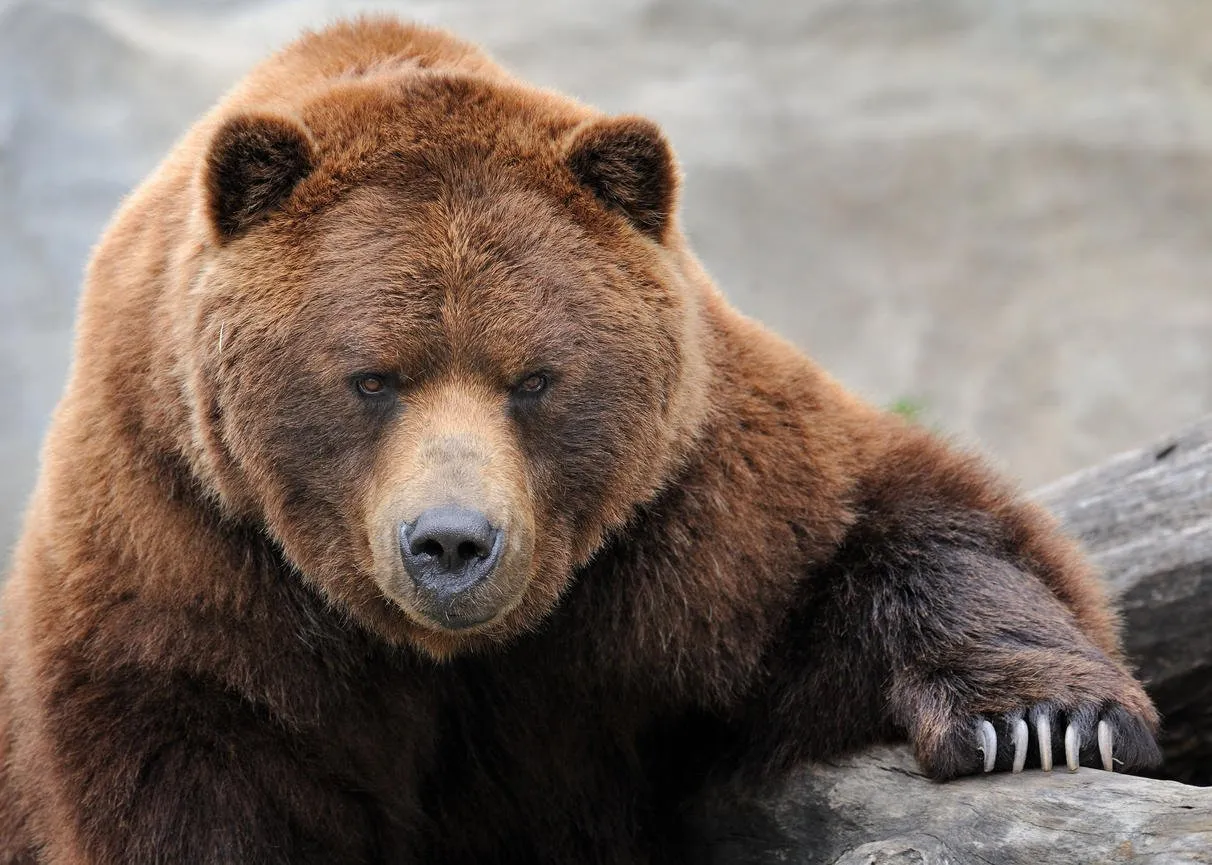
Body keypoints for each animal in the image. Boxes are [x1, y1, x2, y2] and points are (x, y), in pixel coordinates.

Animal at [0, 16, 1160, 865]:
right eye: (372, 377)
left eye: (535, 379)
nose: (453, 543)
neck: (451, 653)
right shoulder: (189, 555)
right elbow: (197, 772)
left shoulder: (687, 514)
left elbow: (893, 530)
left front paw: (1042, 720)